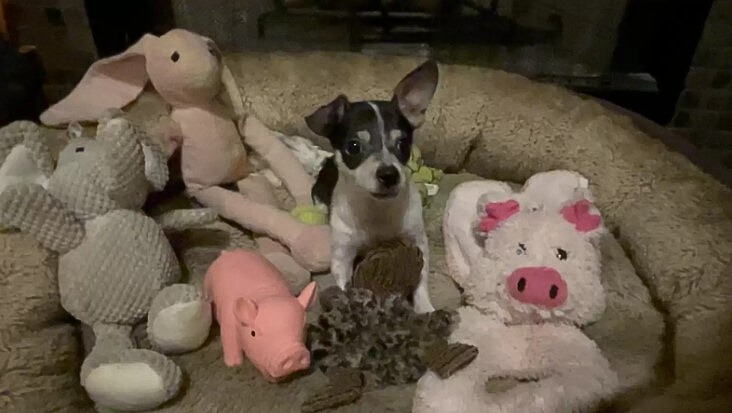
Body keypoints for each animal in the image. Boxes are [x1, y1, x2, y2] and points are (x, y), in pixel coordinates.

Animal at [304, 58, 438, 312]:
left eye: (403, 144)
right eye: (354, 146)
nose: (389, 174)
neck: (377, 211)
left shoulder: (417, 240)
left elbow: (422, 280)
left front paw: (425, 307)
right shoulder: (343, 255)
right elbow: (344, 284)